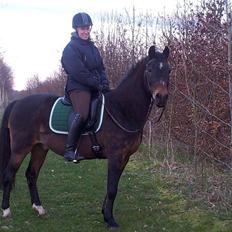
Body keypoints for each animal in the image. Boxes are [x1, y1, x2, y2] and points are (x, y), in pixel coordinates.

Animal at [0, 45, 170, 228]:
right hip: (20, 149)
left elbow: (113, 187)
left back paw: (39, 208)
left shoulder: (124, 158)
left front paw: (105, 214)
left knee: (31, 175)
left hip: (40, 148)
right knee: (8, 175)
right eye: (150, 69)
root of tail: (18, 103)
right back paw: (6, 211)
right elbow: (112, 189)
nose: (161, 97)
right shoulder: (115, 156)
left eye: (168, 70)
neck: (121, 109)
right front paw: (110, 220)